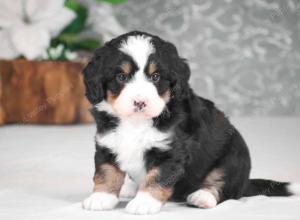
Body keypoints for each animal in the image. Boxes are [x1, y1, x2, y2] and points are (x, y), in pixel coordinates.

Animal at [81, 31, 298, 215]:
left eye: (156, 77)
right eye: (121, 77)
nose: (140, 102)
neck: (136, 123)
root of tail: (246, 181)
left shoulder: (171, 151)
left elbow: (157, 177)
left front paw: (144, 202)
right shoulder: (107, 144)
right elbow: (106, 172)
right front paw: (101, 197)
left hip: (234, 156)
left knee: (223, 183)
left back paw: (203, 196)